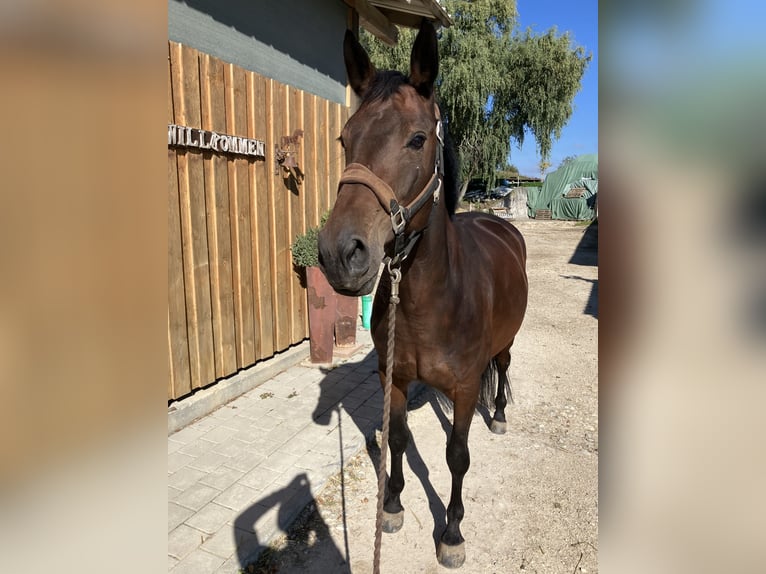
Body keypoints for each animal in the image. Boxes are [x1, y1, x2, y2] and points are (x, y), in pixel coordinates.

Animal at [317, 21, 528, 569]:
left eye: (416, 139)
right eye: (345, 139)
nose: (339, 253)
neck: (432, 300)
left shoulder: (465, 386)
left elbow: (456, 456)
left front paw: (451, 533)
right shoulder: (393, 376)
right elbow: (397, 437)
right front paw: (391, 506)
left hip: (507, 342)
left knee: (503, 366)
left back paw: (499, 415)